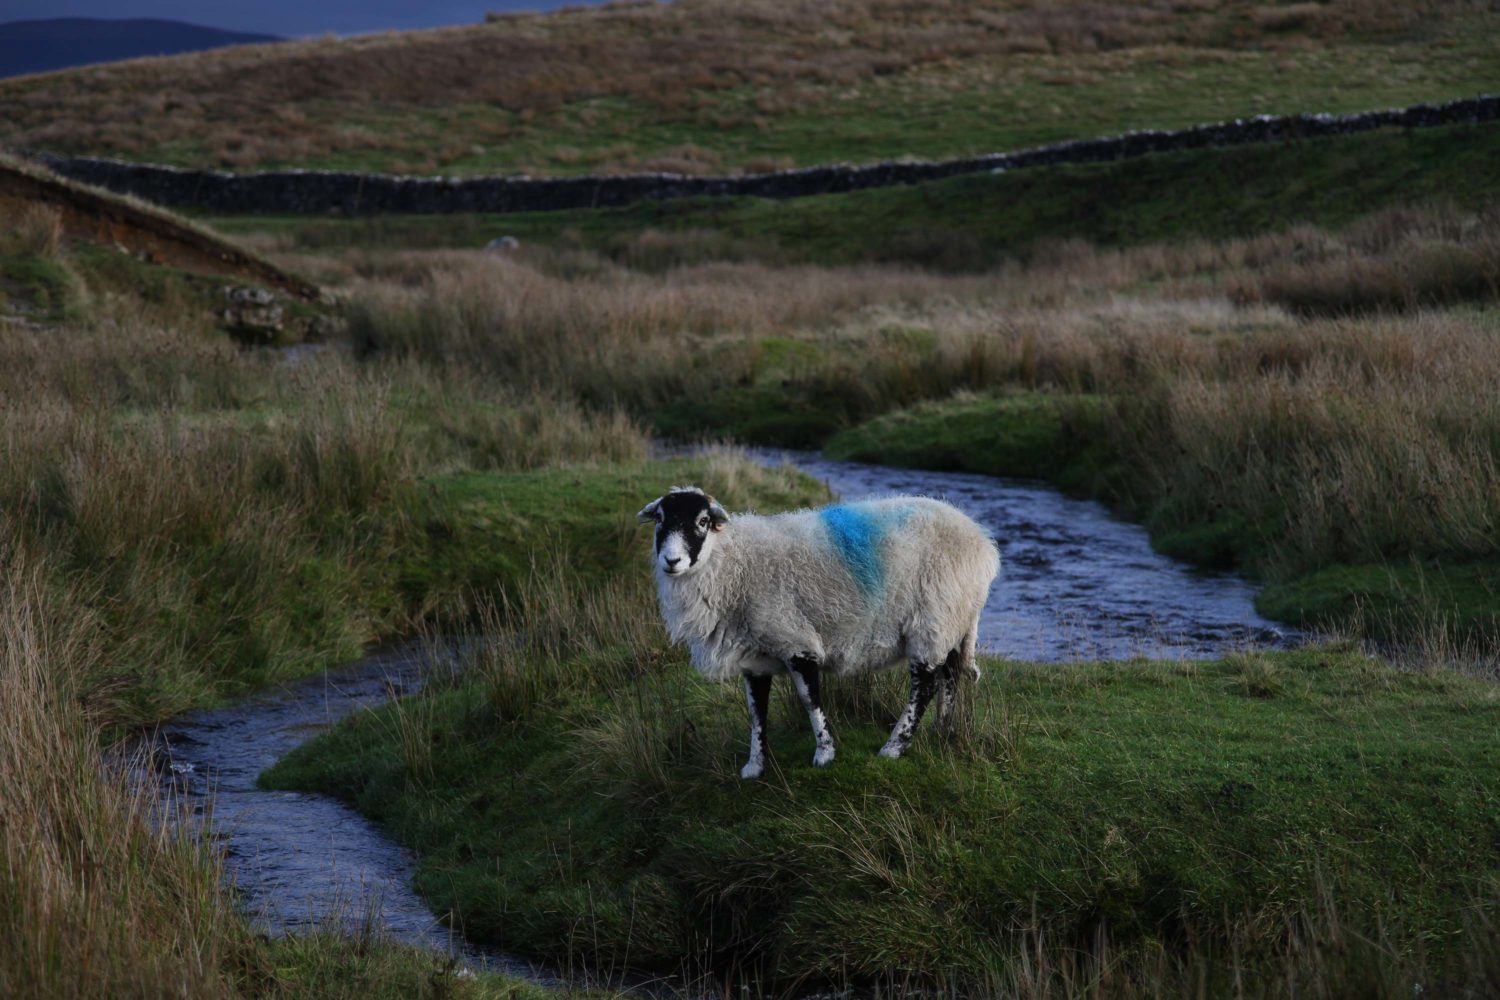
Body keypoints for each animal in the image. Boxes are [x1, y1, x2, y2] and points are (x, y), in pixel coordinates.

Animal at [639, 485, 1002, 779]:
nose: (672, 561)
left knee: (924, 684)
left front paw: (825, 753)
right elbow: (756, 712)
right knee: (950, 674)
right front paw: (755, 766)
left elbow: (810, 698)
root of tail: (982, 541)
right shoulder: (754, 658)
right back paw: (942, 731)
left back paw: (894, 747)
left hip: (933, 619)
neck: (735, 565)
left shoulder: (796, 640)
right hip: (952, 621)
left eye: (702, 521)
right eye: (660, 520)